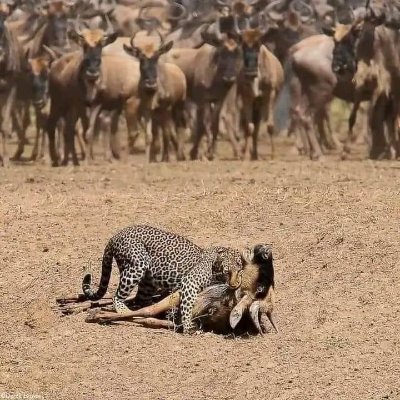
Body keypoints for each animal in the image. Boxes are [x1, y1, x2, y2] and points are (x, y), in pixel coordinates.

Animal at [81, 227, 244, 332]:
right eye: (227, 272)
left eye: (240, 271)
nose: (235, 285)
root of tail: (116, 235)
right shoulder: (190, 283)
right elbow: (188, 306)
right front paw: (188, 326)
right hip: (136, 265)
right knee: (117, 297)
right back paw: (123, 310)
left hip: (148, 281)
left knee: (142, 300)